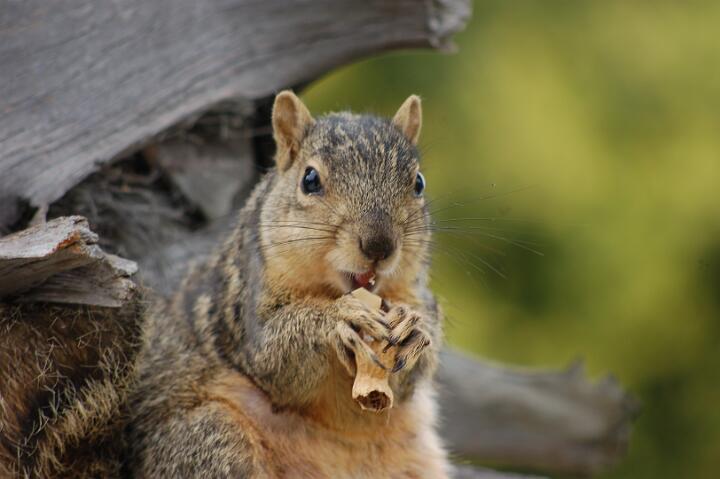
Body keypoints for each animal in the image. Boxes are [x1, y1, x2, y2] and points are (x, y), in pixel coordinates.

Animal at [127, 91, 450, 478]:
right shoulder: (240, 309)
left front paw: (414, 329)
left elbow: (404, 382)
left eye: (418, 183)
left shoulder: (414, 295)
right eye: (309, 180)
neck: (333, 290)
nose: (379, 246)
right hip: (214, 439)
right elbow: (276, 355)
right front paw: (338, 318)